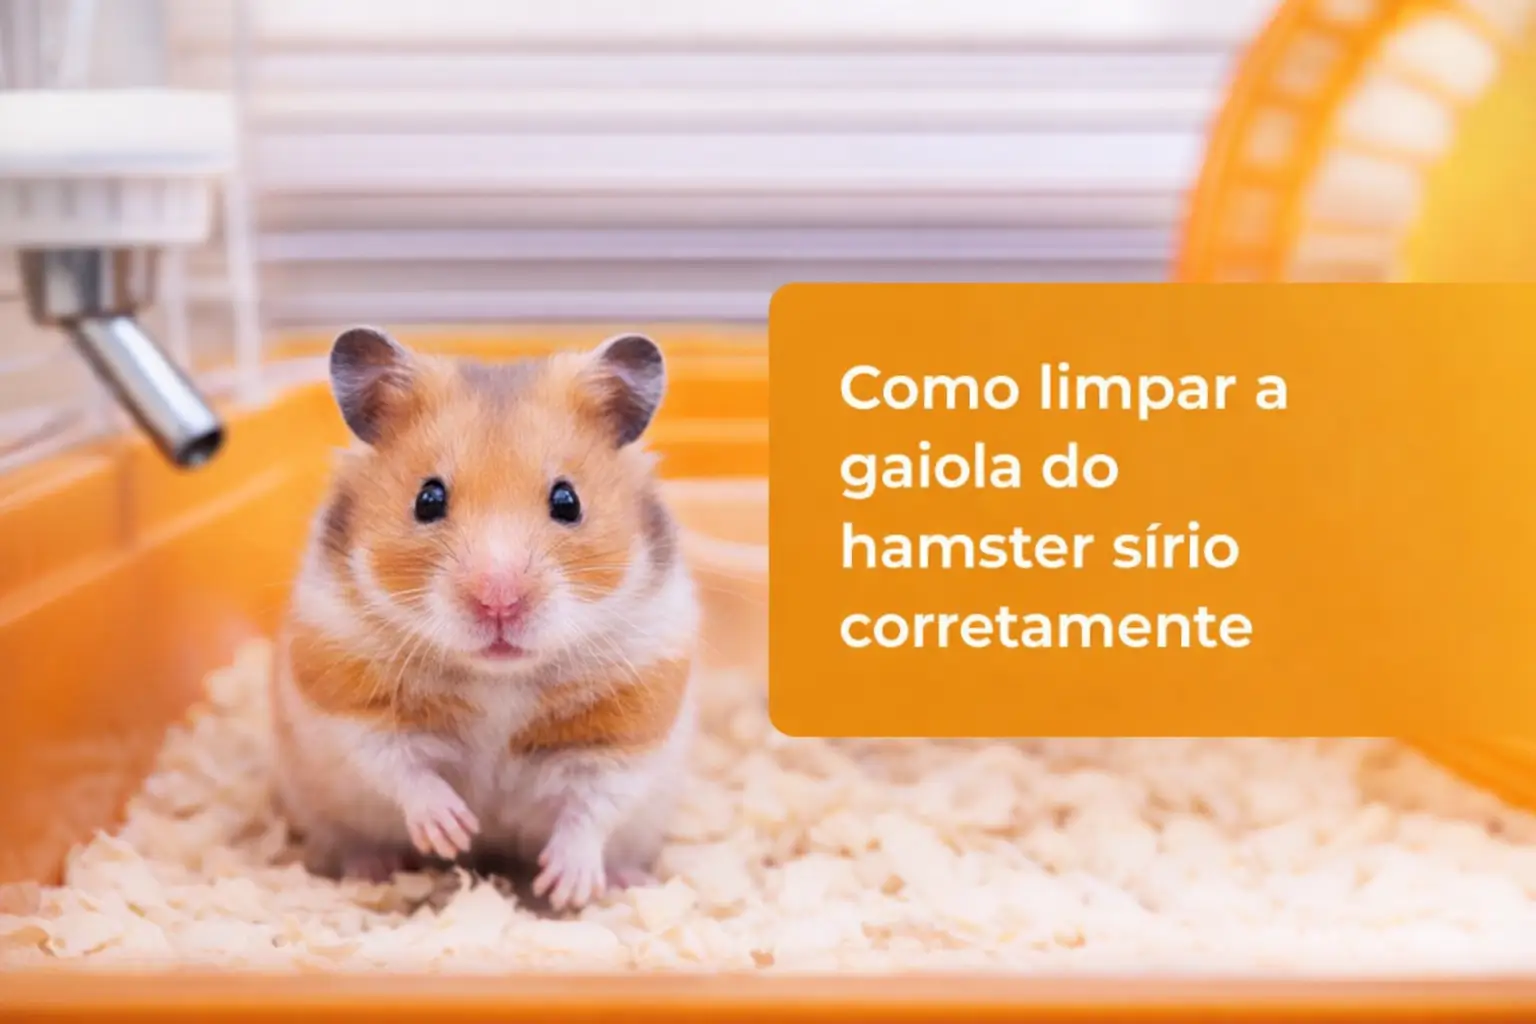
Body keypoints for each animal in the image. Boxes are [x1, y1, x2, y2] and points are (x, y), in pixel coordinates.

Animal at [269, 326, 699, 911]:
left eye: (567, 500)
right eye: (428, 498)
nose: (499, 601)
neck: (499, 678)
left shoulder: (634, 716)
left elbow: (594, 802)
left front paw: (564, 883)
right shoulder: (348, 694)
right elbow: (399, 765)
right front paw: (452, 831)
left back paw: (626, 880)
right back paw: (373, 870)